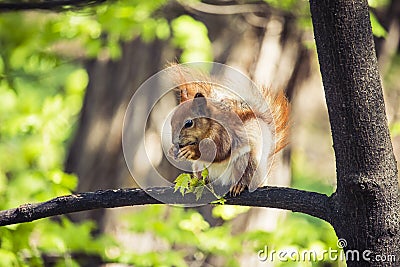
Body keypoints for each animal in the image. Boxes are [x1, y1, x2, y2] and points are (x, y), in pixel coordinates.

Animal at [167, 68, 290, 196]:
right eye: (171, 121)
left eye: (189, 123)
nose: (175, 141)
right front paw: (172, 151)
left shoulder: (226, 134)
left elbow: (219, 150)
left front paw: (191, 150)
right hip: (198, 166)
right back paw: (201, 183)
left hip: (247, 162)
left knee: (246, 176)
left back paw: (239, 185)